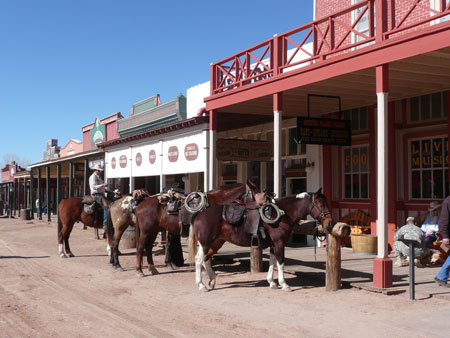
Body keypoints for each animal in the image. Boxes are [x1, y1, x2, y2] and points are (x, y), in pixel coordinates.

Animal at [193, 189, 338, 292]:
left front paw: (272, 282)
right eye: (320, 204)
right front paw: (284, 284)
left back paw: (212, 280)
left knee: (205, 258)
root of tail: (200, 215)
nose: (330, 223)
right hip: (206, 242)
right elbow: (280, 262)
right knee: (199, 260)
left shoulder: (274, 245)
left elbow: (272, 262)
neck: (283, 214)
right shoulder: (279, 243)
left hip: (216, 242)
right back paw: (201, 285)